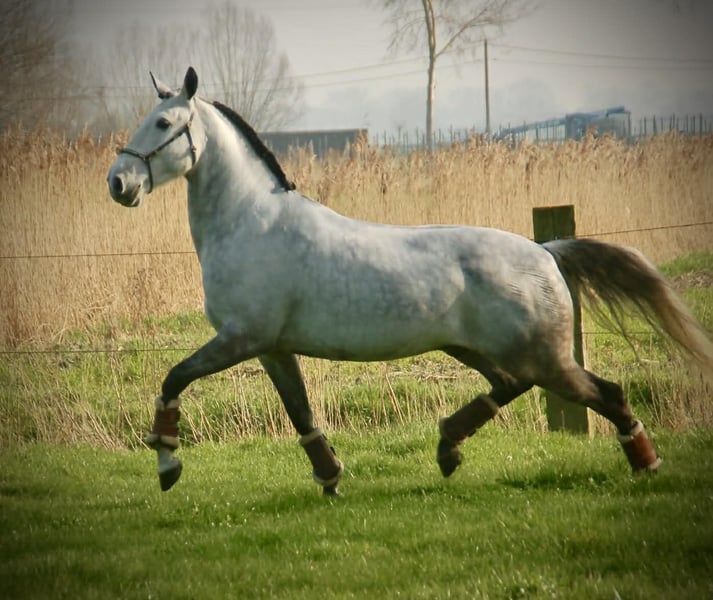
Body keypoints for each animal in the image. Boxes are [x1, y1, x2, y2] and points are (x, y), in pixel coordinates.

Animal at [107, 67, 713, 495]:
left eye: (163, 124)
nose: (119, 182)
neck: (249, 223)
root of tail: (546, 253)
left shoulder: (241, 338)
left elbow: (174, 377)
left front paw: (167, 462)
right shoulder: (272, 348)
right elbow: (301, 413)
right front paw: (330, 477)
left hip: (545, 358)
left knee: (605, 393)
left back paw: (646, 465)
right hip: (478, 348)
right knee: (508, 385)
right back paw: (448, 449)